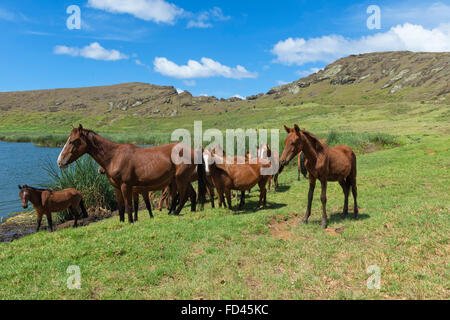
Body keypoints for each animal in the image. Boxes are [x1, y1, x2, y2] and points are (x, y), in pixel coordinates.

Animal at [57, 124, 207, 222]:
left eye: (73, 141)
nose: (60, 161)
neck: (114, 157)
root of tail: (193, 150)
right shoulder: (117, 188)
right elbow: (121, 207)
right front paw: (122, 222)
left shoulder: (126, 186)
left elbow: (128, 205)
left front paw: (130, 221)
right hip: (180, 179)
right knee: (190, 195)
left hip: (182, 178)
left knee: (183, 196)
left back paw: (175, 212)